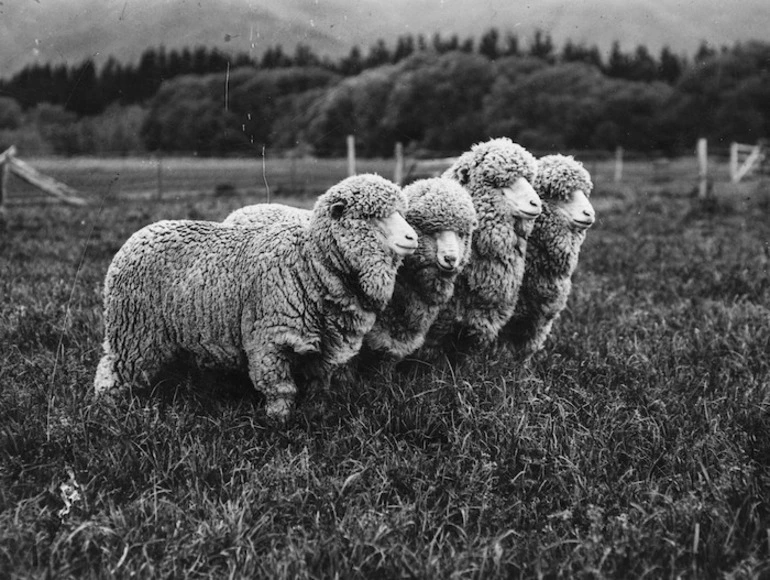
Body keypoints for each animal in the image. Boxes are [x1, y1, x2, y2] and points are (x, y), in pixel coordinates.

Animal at [93, 172, 416, 422]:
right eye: (371, 217)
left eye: (401, 213)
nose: (412, 238)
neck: (310, 262)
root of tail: (140, 234)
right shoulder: (269, 340)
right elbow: (280, 389)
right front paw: (278, 422)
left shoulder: (327, 347)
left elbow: (318, 386)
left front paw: (316, 414)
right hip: (133, 331)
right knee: (111, 370)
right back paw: (108, 409)